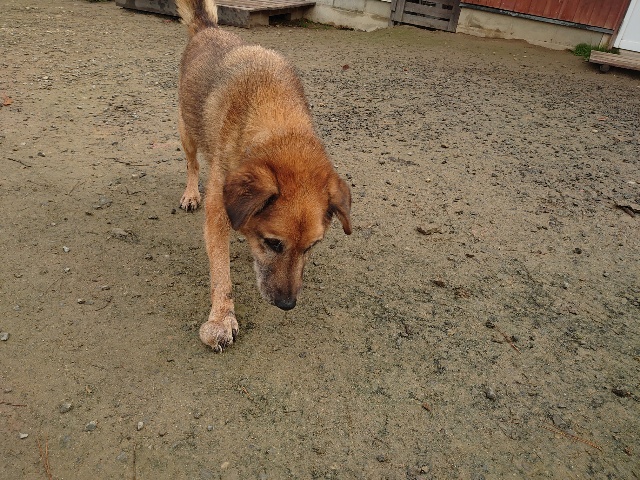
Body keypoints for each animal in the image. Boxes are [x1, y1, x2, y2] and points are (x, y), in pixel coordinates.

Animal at [175, 0, 352, 351]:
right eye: (273, 243)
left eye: (311, 247)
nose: (287, 304)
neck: (277, 118)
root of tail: (207, 29)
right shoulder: (219, 210)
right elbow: (221, 274)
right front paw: (221, 318)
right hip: (187, 130)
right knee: (192, 165)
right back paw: (190, 193)